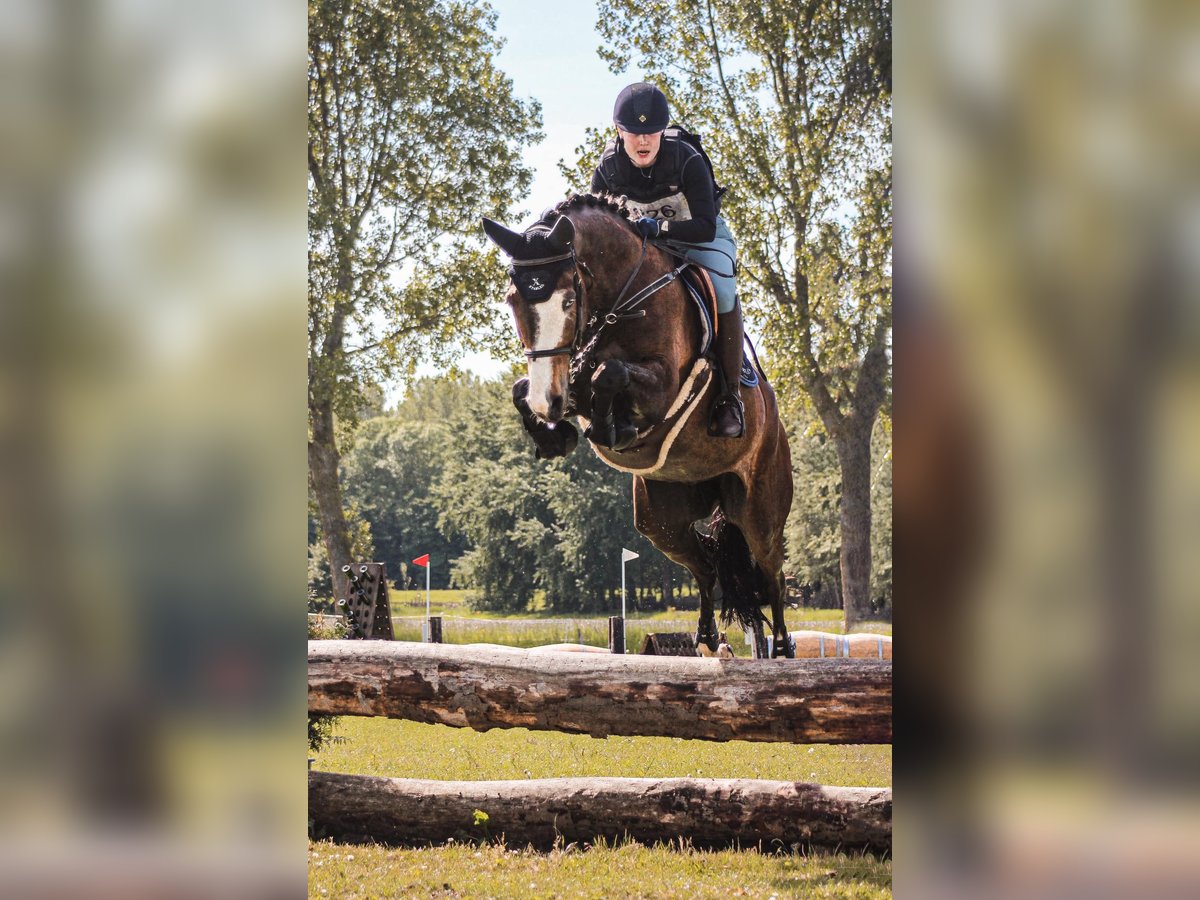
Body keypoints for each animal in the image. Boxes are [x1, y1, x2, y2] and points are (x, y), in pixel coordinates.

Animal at [477, 195, 796, 657]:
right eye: (512, 300)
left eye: (569, 302)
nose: (547, 403)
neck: (621, 302)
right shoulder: (570, 376)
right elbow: (528, 387)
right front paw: (558, 436)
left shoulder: (663, 385)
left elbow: (609, 374)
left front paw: (613, 429)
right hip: (660, 520)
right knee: (704, 566)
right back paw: (705, 636)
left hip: (760, 510)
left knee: (772, 573)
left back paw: (784, 646)